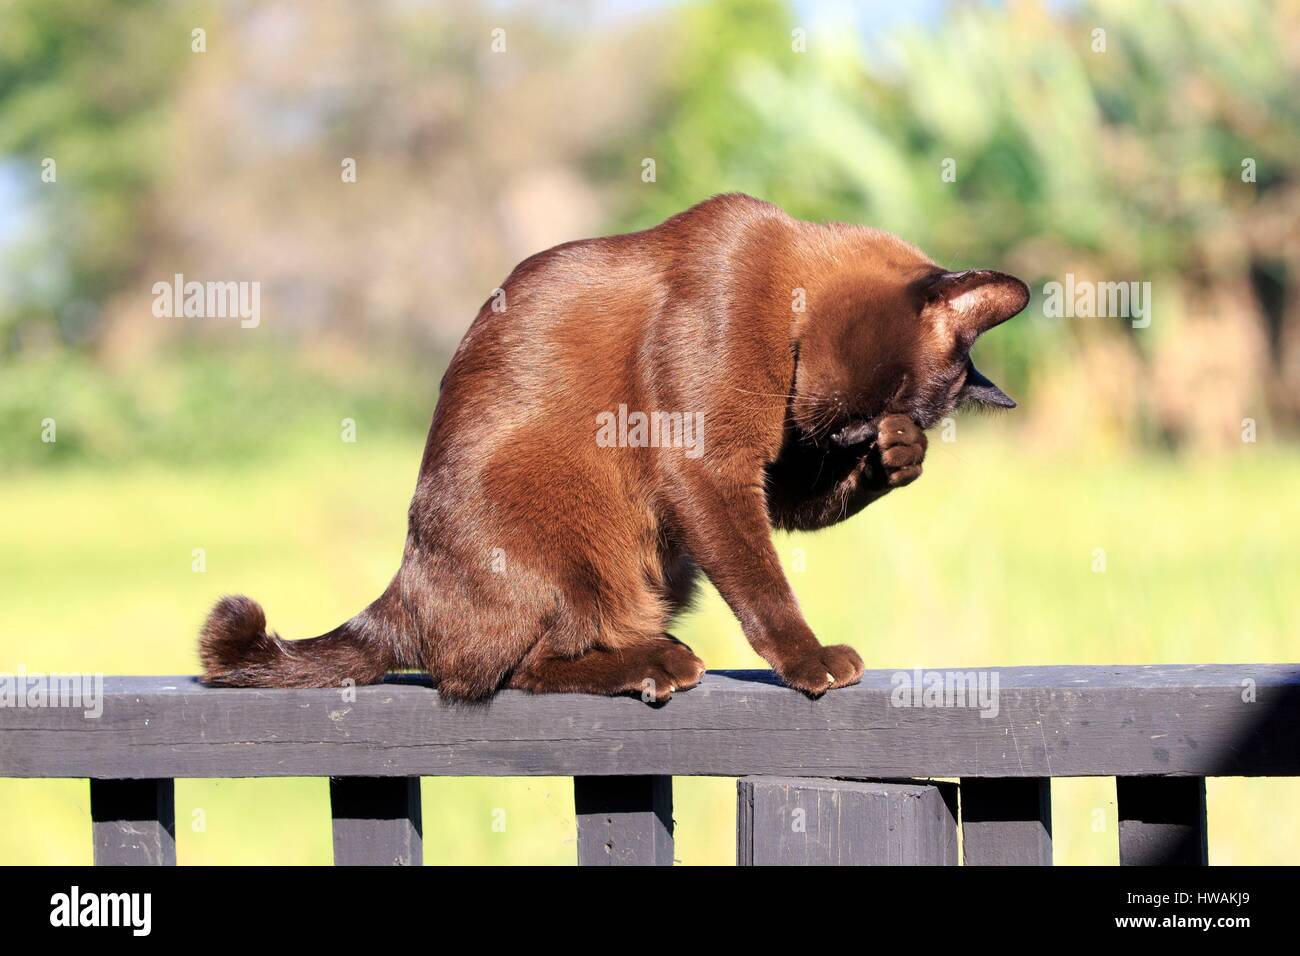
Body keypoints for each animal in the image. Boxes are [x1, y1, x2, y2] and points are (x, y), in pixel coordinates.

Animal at [202, 195, 1029, 702]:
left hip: (666, 558)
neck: (788, 305)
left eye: (902, 413)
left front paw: (901, 458)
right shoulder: (710, 470)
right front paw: (812, 665)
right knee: (502, 672)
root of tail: (402, 590)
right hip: (571, 525)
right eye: (887, 398)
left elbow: (801, 513)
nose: (864, 436)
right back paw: (661, 664)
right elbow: (765, 590)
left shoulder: (768, 473)